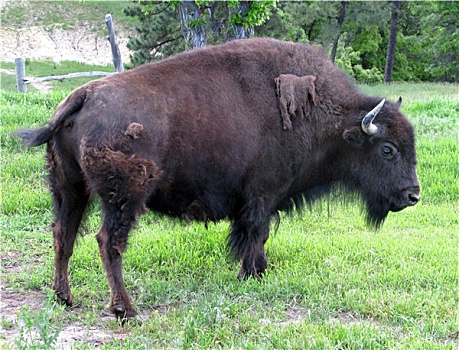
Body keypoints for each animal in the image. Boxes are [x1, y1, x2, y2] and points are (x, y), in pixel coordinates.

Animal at [11, 38, 420, 320]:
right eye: (387, 149)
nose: (412, 195)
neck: (328, 118)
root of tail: (82, 95)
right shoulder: (262, 196)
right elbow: (256, 233)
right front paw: (252, 273)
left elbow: (257, 234)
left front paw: (258, 271)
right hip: (124, 196)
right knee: (108, 242)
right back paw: (126, 310)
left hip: (69, 188)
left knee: (63, 234)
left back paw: (64, 298)